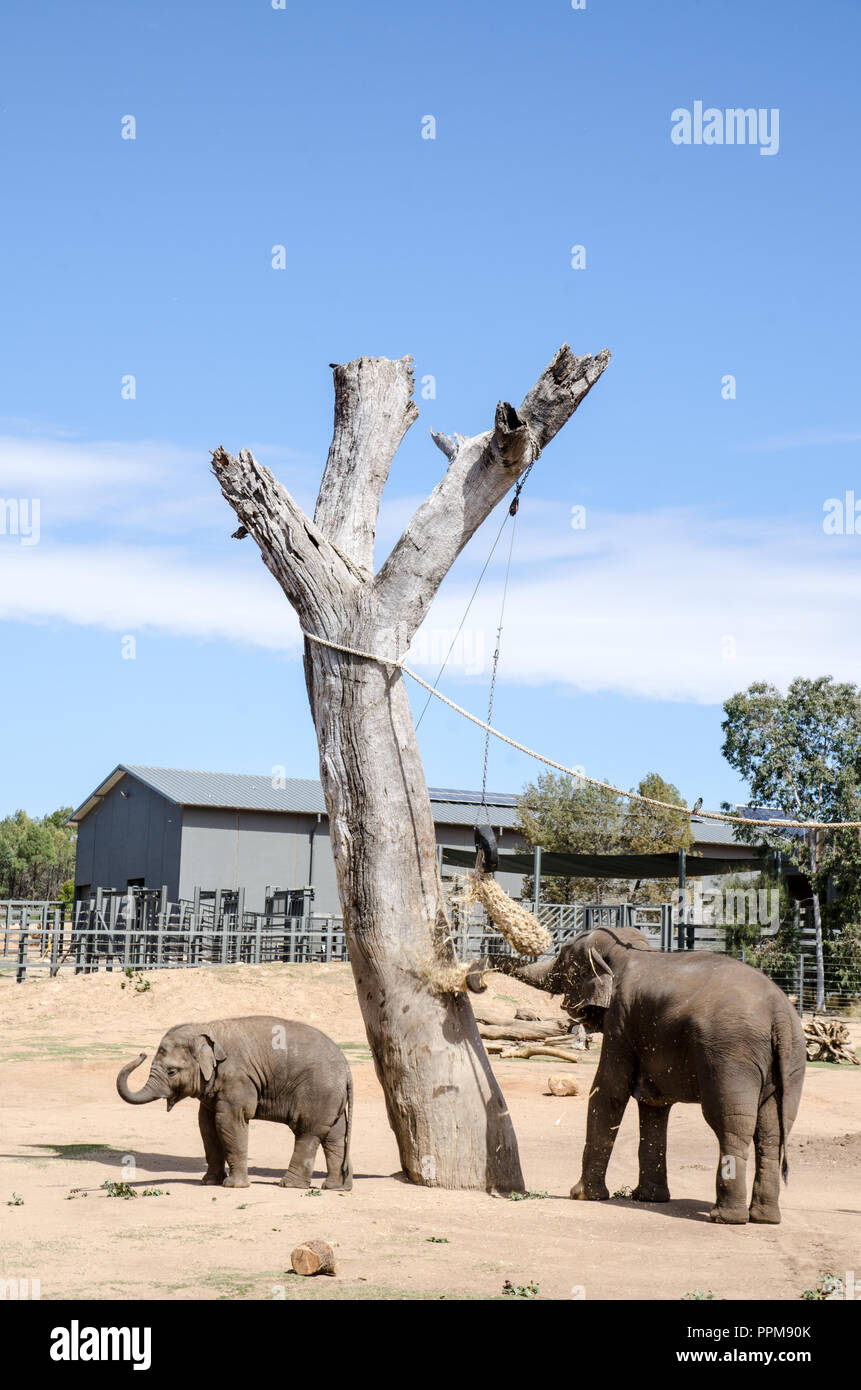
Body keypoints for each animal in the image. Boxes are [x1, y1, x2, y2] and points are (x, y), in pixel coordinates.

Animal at [118, 1017, 353, 1189]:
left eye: (171, 1071)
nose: (141, 1053)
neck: (207, 1028)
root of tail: (346, 1066)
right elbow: (207, 1126)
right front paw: (208, 1182)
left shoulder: (237, 1079)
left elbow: (229, 1121)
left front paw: (233, 1185)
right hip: (332, 1099)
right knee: (335, 1136)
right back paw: (335, 1187)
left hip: (318, 1093)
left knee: (307, 1132)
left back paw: (289, 1185)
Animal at [467, 928, 806, 1223]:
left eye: (563, 960)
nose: (477, 983)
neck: (628, 950)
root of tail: (779, 1012)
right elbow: (654, 1102)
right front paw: (649, 1198)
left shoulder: (620, 1019)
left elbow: (609, 1090)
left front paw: (582, 1195)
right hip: (793, 1058)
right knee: (773, 1130)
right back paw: (765, 1218)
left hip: (730, 1055)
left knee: (731, 1124)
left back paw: (725, 1217)